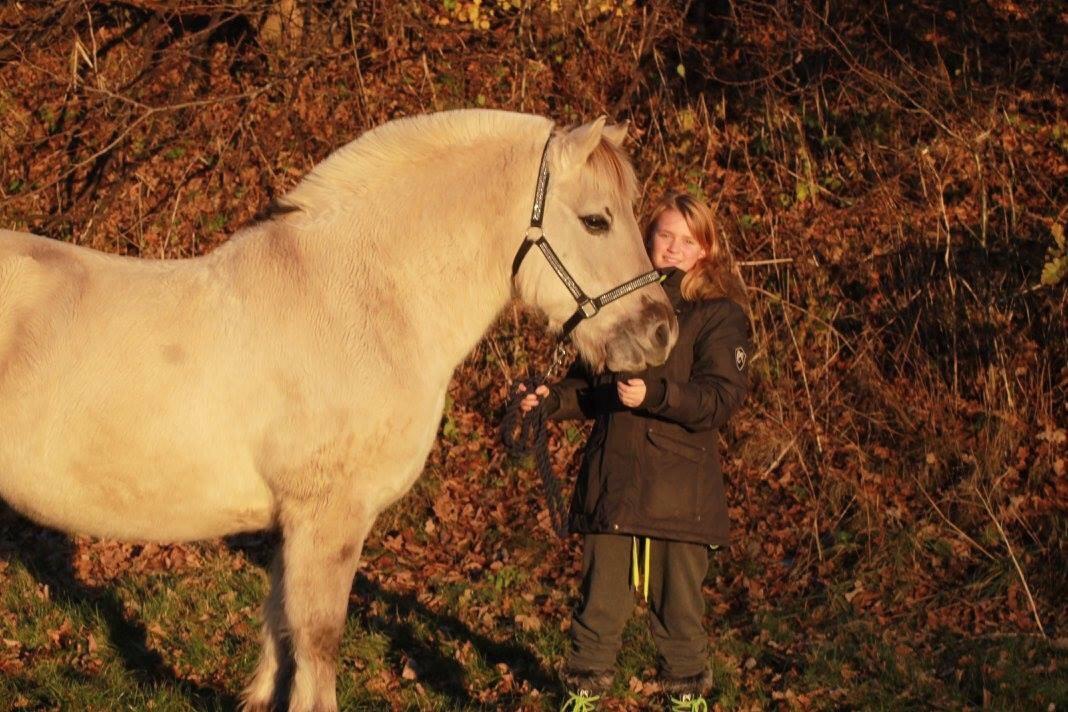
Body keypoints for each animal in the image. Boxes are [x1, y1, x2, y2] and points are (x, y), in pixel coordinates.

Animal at [0, 108, 679, 708]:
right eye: (596, 220)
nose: (660, 333)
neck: (357, 302)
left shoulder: (293, 523)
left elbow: (280, 627)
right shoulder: (329, 516)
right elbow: (319, 638)